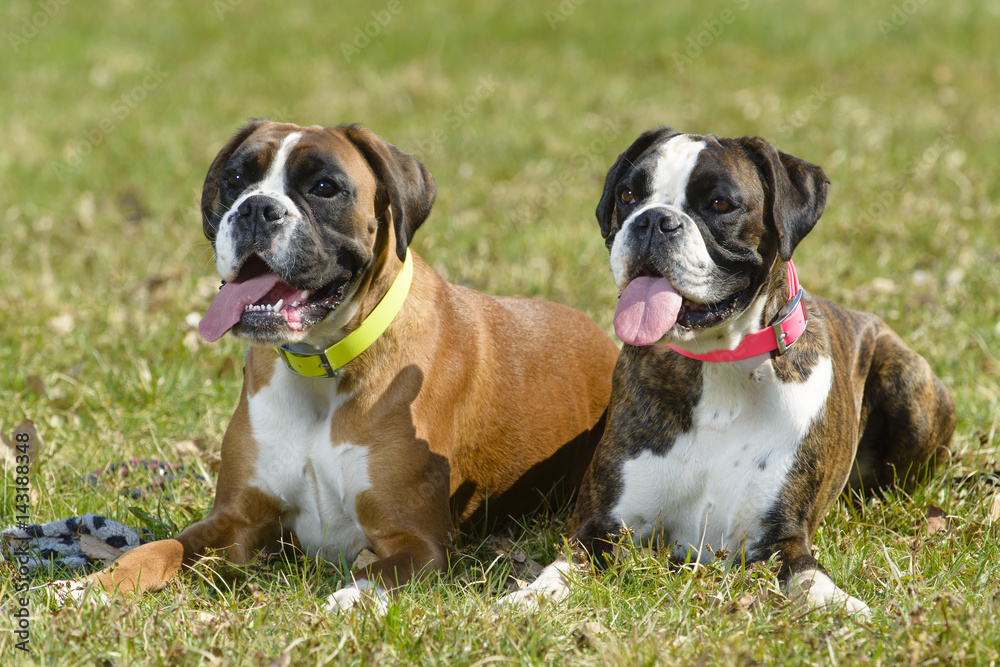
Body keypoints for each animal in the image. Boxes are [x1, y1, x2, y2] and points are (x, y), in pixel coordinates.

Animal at [86, 122, 616, 612]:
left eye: (325, 187)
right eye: (235, 178)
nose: (257, 208)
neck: (322, 367)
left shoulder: (417, 542)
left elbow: (371, 577)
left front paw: (340, 604)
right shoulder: (234, 521)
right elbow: (158, 549)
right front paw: (90, 586)